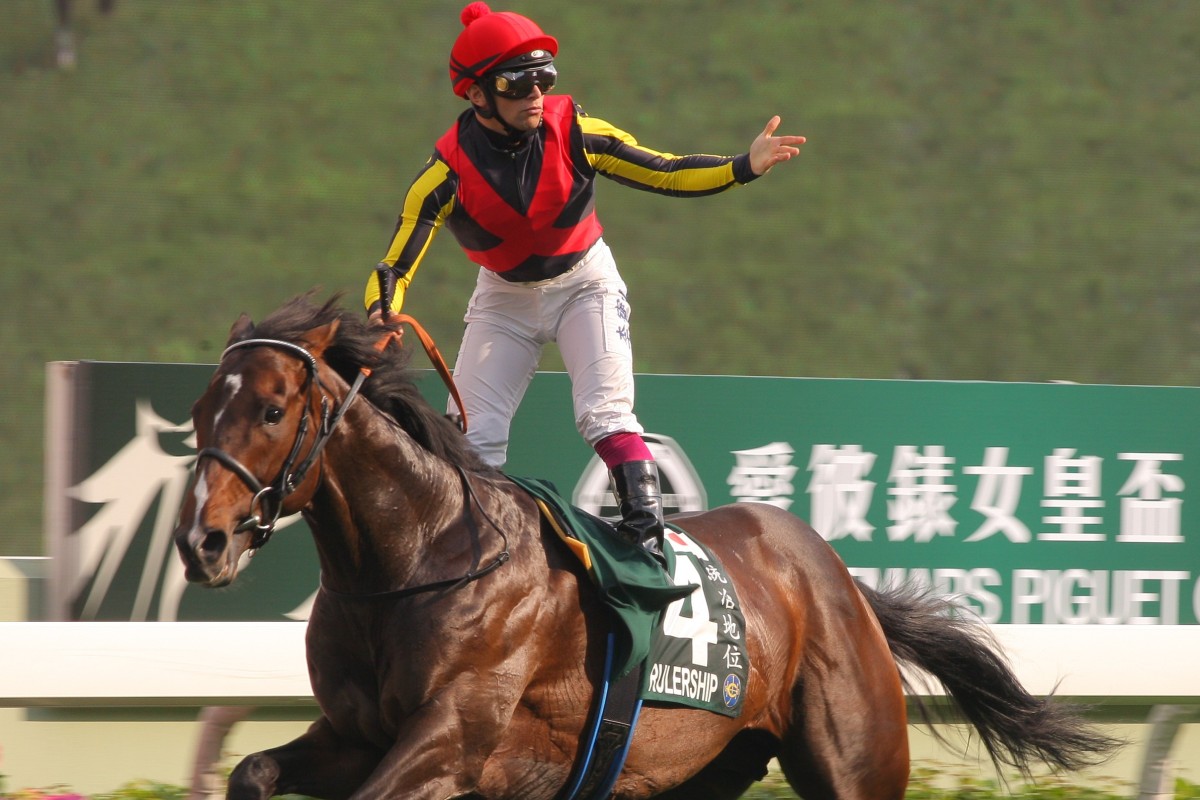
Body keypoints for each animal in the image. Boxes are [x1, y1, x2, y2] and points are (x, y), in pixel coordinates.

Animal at [174, 296, 1118, 800]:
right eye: (198, 410)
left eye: (270, 410)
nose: (200, 541)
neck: (417, 560)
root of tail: (839, 577)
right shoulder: (356, 730)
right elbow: (252, 770)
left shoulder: (453, 738)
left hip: (857, 760)